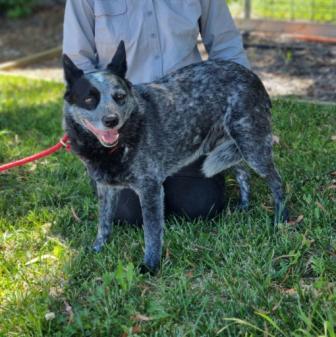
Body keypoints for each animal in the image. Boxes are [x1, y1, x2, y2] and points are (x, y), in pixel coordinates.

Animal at [61, 41, 288, 272]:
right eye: (89, 98)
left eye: (120, 97)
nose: (111, 120)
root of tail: (252, 75)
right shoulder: (106, 188)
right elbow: (104, 222)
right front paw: (97, 248)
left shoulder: (150, 189)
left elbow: (152, 233)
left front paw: (150, 265)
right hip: (230, 147)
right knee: (243, 174)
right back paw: (244, 207)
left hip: (253, 147)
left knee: (277, 182)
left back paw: (280, 219)